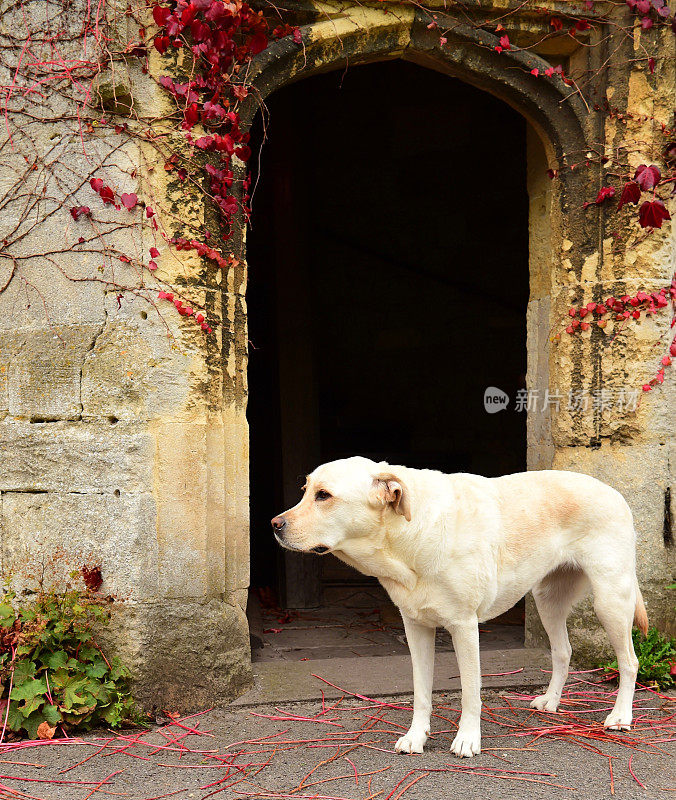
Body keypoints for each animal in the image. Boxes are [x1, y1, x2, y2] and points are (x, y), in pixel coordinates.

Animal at [272, 456, 648, 756]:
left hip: (610, 601)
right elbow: (421, 692)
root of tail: (614, 491)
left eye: (324, 496)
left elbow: (470, 692)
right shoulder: (416, 628)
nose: (274, 525)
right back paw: (552, 701)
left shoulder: (464, 627)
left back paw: (620, 716)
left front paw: (468, 740)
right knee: (563, 651)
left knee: (629, 661)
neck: (408, 537)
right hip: (548, 601)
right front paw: (416, 737)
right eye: (305, 490)